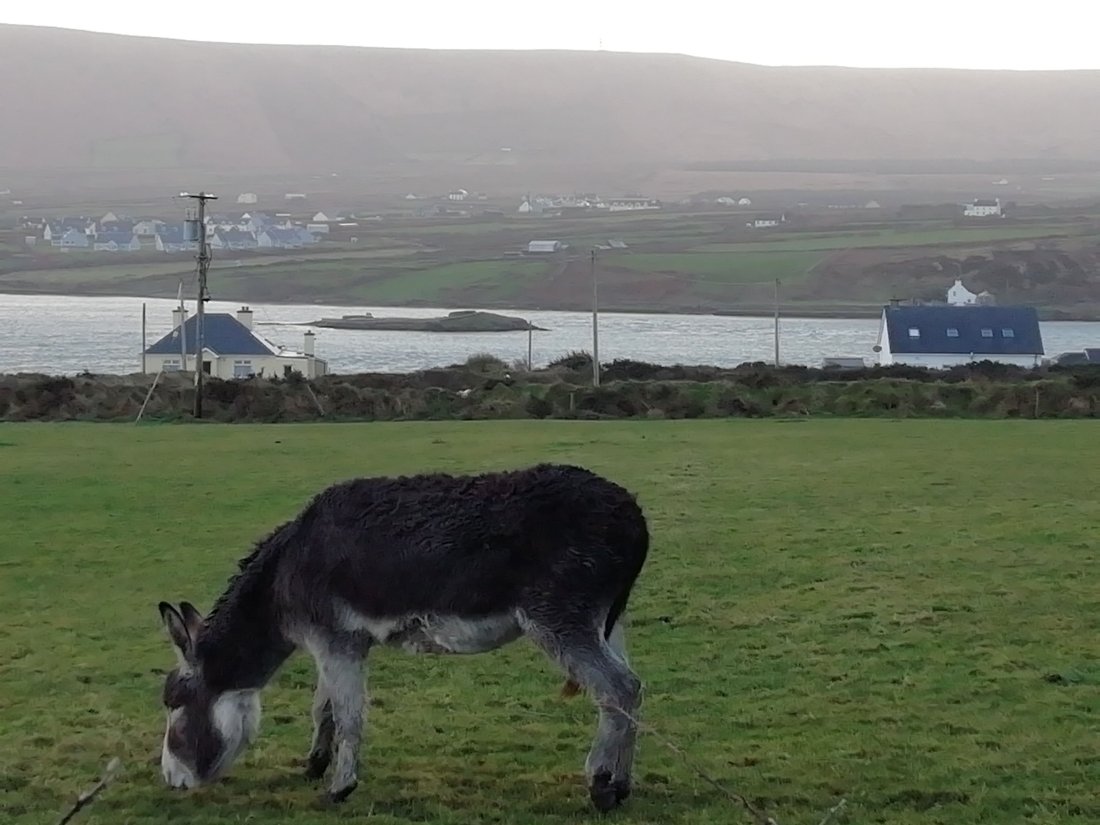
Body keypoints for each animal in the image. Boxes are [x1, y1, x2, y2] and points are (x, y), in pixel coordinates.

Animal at [156, 462, 650, 812]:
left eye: (174, 704)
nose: (171, 782)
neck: (282, 577)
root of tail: (635, 518)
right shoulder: (343, 641)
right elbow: (325, 707)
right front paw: (315, 764)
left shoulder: (333, 639)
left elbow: (349, 715)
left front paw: (339, 788)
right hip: (608, 620)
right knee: (632, 689)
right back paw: (622, 784)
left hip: (558, 618)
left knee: (617, 688)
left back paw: (600, 786)